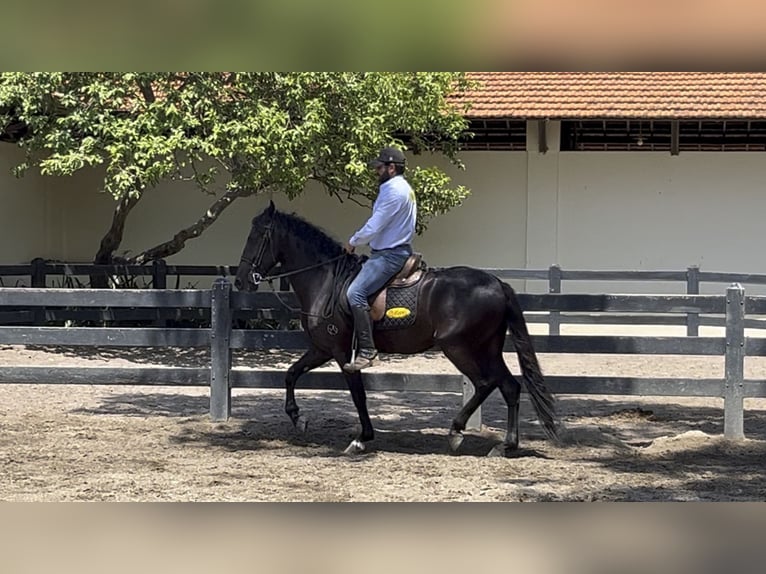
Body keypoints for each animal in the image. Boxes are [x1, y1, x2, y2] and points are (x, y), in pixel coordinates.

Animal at [234, 204, 560, 460]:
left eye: (257, 235)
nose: (240, 281)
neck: (326, 281)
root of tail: (497, 283)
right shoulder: (322, 349)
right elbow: (291, 374)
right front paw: (297, 417)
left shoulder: (342, 353)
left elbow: (358, 395)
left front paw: (361, 439)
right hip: (487, 348)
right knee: (509, 386)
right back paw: (506, 446)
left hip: (458, 347)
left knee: (484, 383)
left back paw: (456, 432)